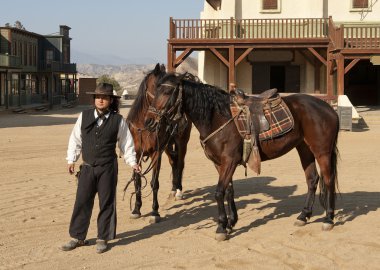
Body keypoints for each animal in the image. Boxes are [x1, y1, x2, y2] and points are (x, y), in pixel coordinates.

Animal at [127, 64, 191, 223]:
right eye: (156, 87)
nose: (150, 121)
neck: (143, 127)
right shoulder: (136, 155)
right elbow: (137, 180)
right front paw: (136, 209)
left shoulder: (156, 153)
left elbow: (154, 183)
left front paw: (154, 212)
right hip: (168, 147)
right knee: (174, 162)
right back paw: (173, 189)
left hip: (181, 143)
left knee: (180, 163)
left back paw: (179, 191)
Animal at [145, 72, 338, 240]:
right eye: (155, 91)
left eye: (167, 92)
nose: (148, 121)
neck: (217, 118)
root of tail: (329, 108)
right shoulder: (220, 164)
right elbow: (229, 190)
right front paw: (231, 222)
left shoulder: (228, 162)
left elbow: (219, 192)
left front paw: (221, 227)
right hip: (304, 149)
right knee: (312, 180)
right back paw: (303, 216)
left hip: (322, 151)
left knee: (328, 180)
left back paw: (328, 219)